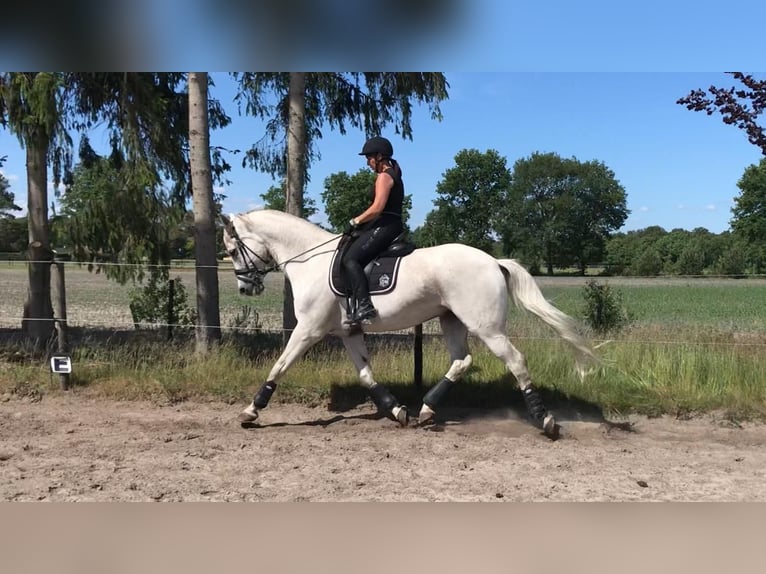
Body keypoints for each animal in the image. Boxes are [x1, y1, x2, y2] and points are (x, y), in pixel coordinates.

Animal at [219, 209, 596, 438]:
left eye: (233, 250)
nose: (246, 289)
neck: (310, 260)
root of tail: (493, 261)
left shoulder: (308, 330)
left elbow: (279, 366)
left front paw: (251, 411)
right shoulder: (349, 332)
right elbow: (366, 375)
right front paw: (397, 410)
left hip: (487, 327)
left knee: (515, 361)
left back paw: (545, 420)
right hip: (451, 321)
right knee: (462, 360)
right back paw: (426, 409)